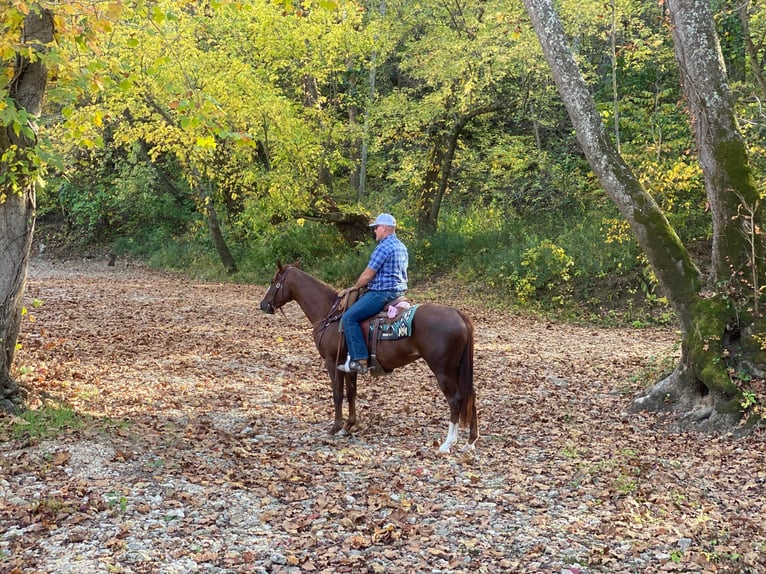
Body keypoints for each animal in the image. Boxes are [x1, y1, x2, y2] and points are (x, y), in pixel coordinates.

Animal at [262, 262, 480, 454]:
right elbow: (351, 393)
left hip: (443, 370)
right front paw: (348, 427)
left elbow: (337, 394)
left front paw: (334, 428)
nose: (263, 305)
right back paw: (470, 442)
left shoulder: (332, 361)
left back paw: (447, 443)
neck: (329, 313)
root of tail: (459, 314)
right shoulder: (348, 365)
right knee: (470, 395)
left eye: (274, 281)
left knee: (456, 399)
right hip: (457, 368)